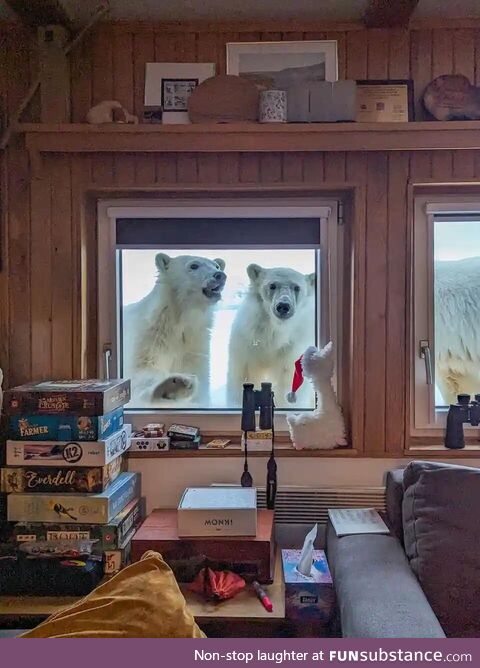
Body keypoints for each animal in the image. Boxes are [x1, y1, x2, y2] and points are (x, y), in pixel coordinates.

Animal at [124, 253, 229, 408]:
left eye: (216, 266)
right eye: (194, 265)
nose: (219, 275)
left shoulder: (194, 344)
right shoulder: (149, 337)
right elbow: (143, 370)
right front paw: (173, 386)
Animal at [228, 264, 316, 404]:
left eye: (297, 287)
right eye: (272, 285)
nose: (283, 306)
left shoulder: (293, 348)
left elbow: (290, 381)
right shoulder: (248, 341)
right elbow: (243, 375)